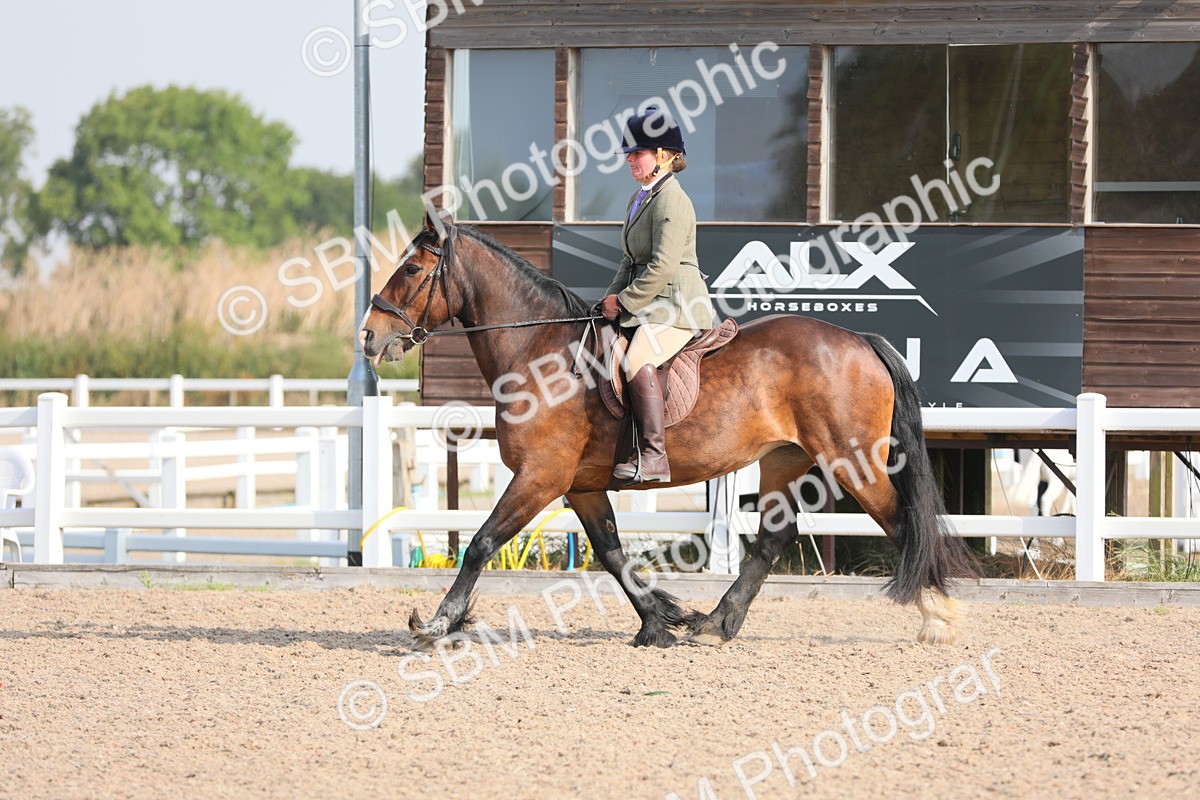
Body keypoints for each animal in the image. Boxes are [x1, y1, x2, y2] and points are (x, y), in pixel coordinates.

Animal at [360, 213, 978, 649]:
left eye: (411, 270)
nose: (368, 336)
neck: (538, 349)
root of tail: (859, 339)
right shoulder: (581, 485)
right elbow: (613, 554)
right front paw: (660, 621)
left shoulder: (540, 477)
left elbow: (481, 544)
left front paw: (437, 624)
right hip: (784, 458)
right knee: (774, 538)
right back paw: (716, 623)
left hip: (854, 460)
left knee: (901, 521)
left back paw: (940, 618)